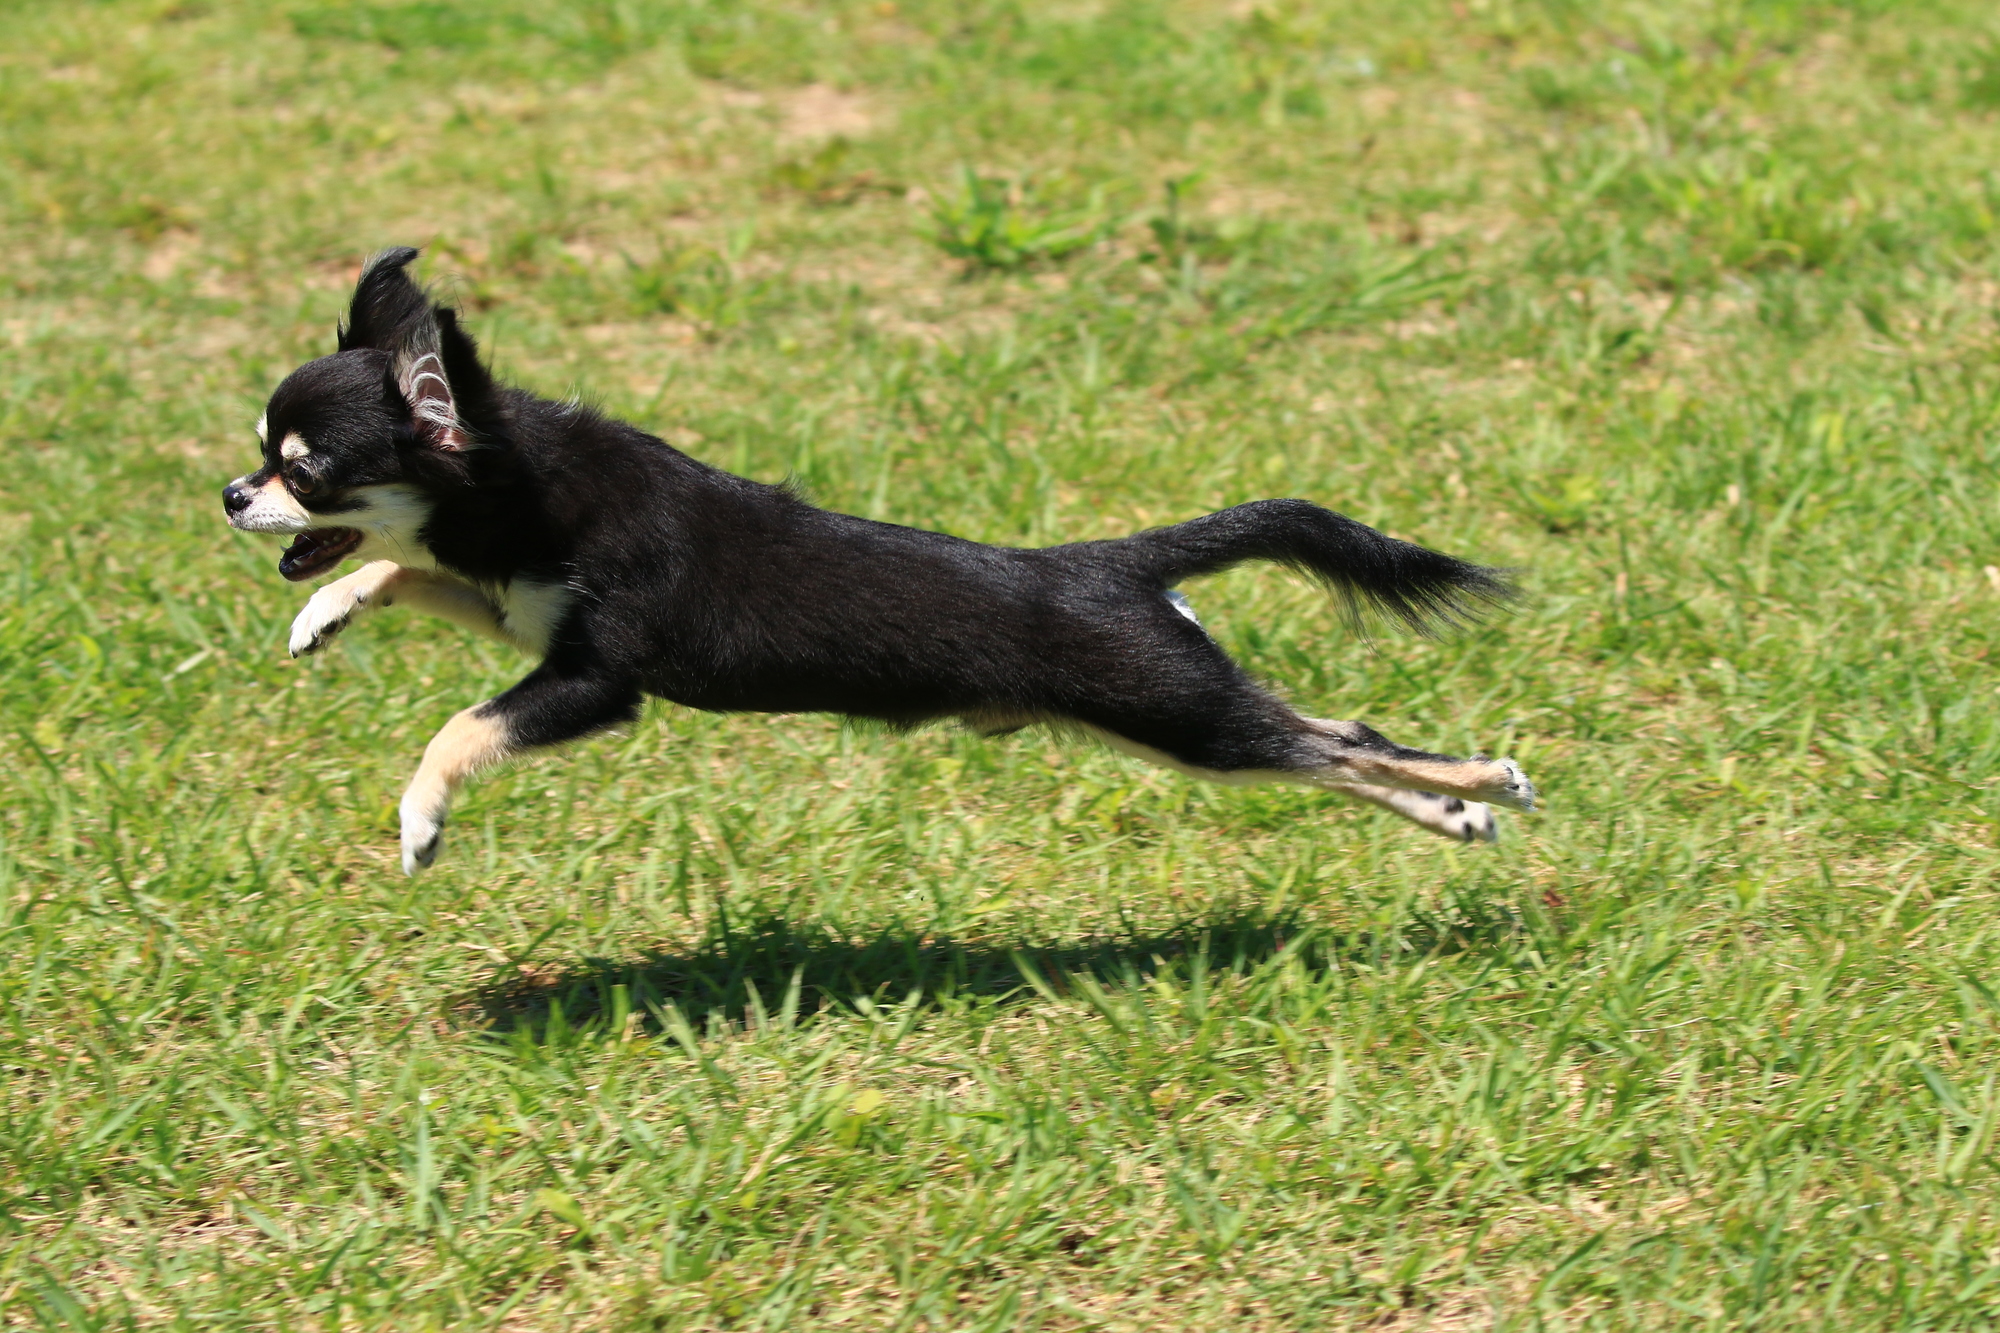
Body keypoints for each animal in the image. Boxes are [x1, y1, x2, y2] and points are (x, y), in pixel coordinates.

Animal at [219, 249, 1536, 872]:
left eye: (306, 470)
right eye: (261, 459)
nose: (231, 494)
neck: (528, 492)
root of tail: (1100, 565)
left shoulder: (593, 682)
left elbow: (459, 726)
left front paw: (419, 820)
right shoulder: (525, 617)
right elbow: (411, 572)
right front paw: (326, 614)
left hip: (1174, 712)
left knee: (1337, 743)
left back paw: (1486, 779)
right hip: (1176, 720)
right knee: (1338, 744)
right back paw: (1455, 815)